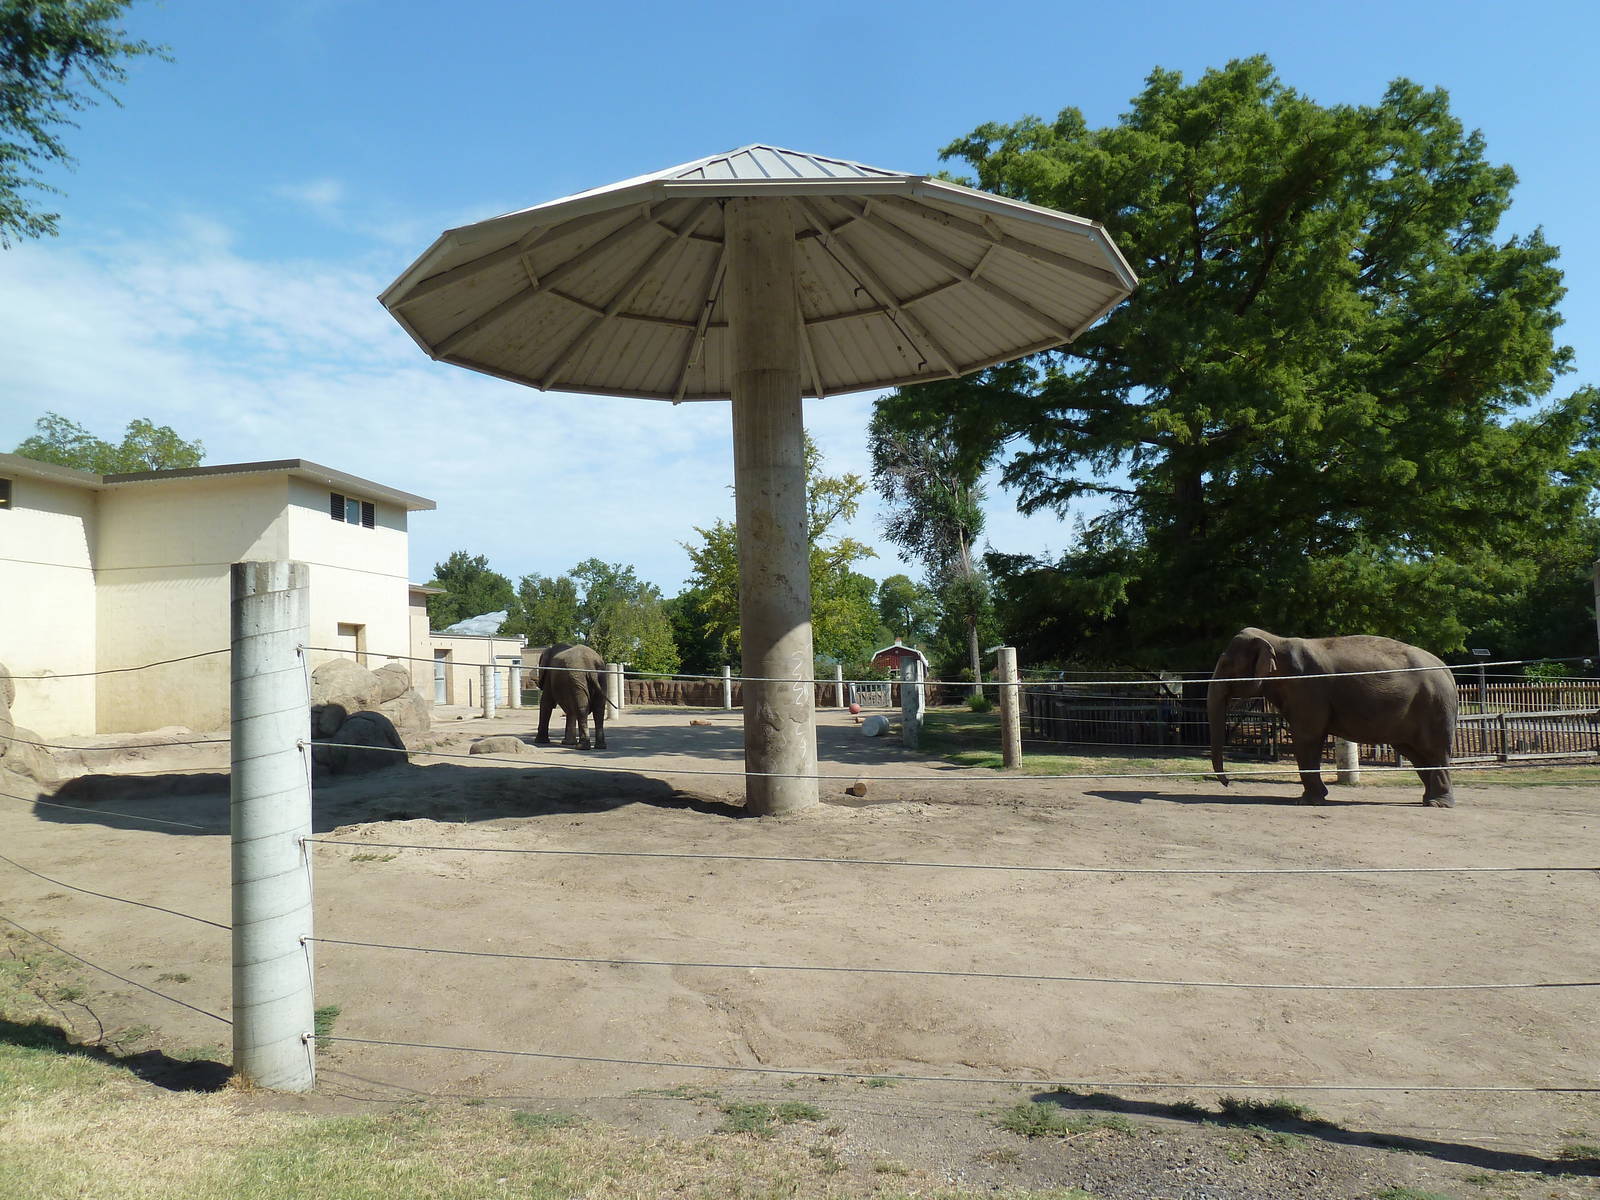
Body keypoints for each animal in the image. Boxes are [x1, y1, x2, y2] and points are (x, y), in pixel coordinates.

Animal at [1207, 627, 1458, 807]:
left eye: (1226, 665)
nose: (1228, 783)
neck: (1276, 641)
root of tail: (1446, 670)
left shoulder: (1308, 688)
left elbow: (1307, 737)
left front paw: (1307, 802)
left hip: (1434, 707)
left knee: (1433, 750)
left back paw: (1438, 804)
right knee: (1416, 754)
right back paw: (1428, 800)